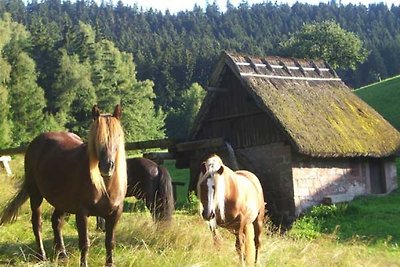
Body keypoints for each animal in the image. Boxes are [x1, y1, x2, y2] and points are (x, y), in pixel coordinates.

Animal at [0, 105, 126, 266]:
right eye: (97, 138)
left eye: (118, 136)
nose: (107, 167)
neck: (105, 186)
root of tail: (37, 141)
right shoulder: (82, 213)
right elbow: (84, 243)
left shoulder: (115, 213)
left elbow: (110, 242)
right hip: (35, 194)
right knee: (37, 223)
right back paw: (41, 255)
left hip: (61, 202)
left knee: (56, 222)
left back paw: (61, 254)